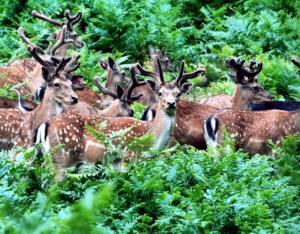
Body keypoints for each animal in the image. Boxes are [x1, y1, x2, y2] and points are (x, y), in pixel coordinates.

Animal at [35, 59, 193, 177]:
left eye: (178, 93)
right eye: (160, 93)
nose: (171, 103)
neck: (151, 139)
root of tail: (45, 125)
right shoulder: (127, 159)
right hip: (62, 159)